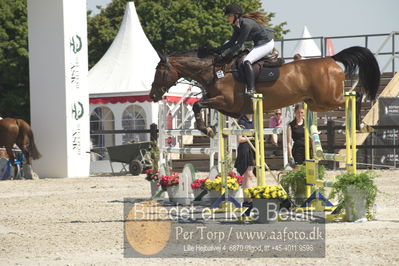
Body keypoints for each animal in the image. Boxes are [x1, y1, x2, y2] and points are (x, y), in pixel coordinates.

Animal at [150, 45, 382, 136]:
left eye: (158, 70)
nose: (153, 95)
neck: (215, 71)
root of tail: (332, 60)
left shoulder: (224, 100)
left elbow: (198, 105)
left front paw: (206, 129)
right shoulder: (227, 105)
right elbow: (215, 109)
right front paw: (217, 126)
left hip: (328, 99)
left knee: (356, 96)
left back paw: (359, 125)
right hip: (316, 103)